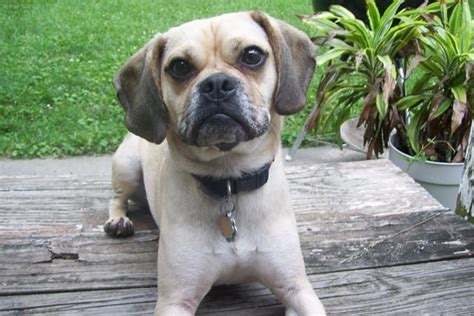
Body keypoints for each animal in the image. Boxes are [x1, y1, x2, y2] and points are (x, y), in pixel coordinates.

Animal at [103, 11, 326, 314]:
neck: (228, 178)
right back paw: (118, 220)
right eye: (180, 67)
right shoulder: (176, 299)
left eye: (252, 55)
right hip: (126, 165)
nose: (216, 84)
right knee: (117, 197)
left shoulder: (297, 289)